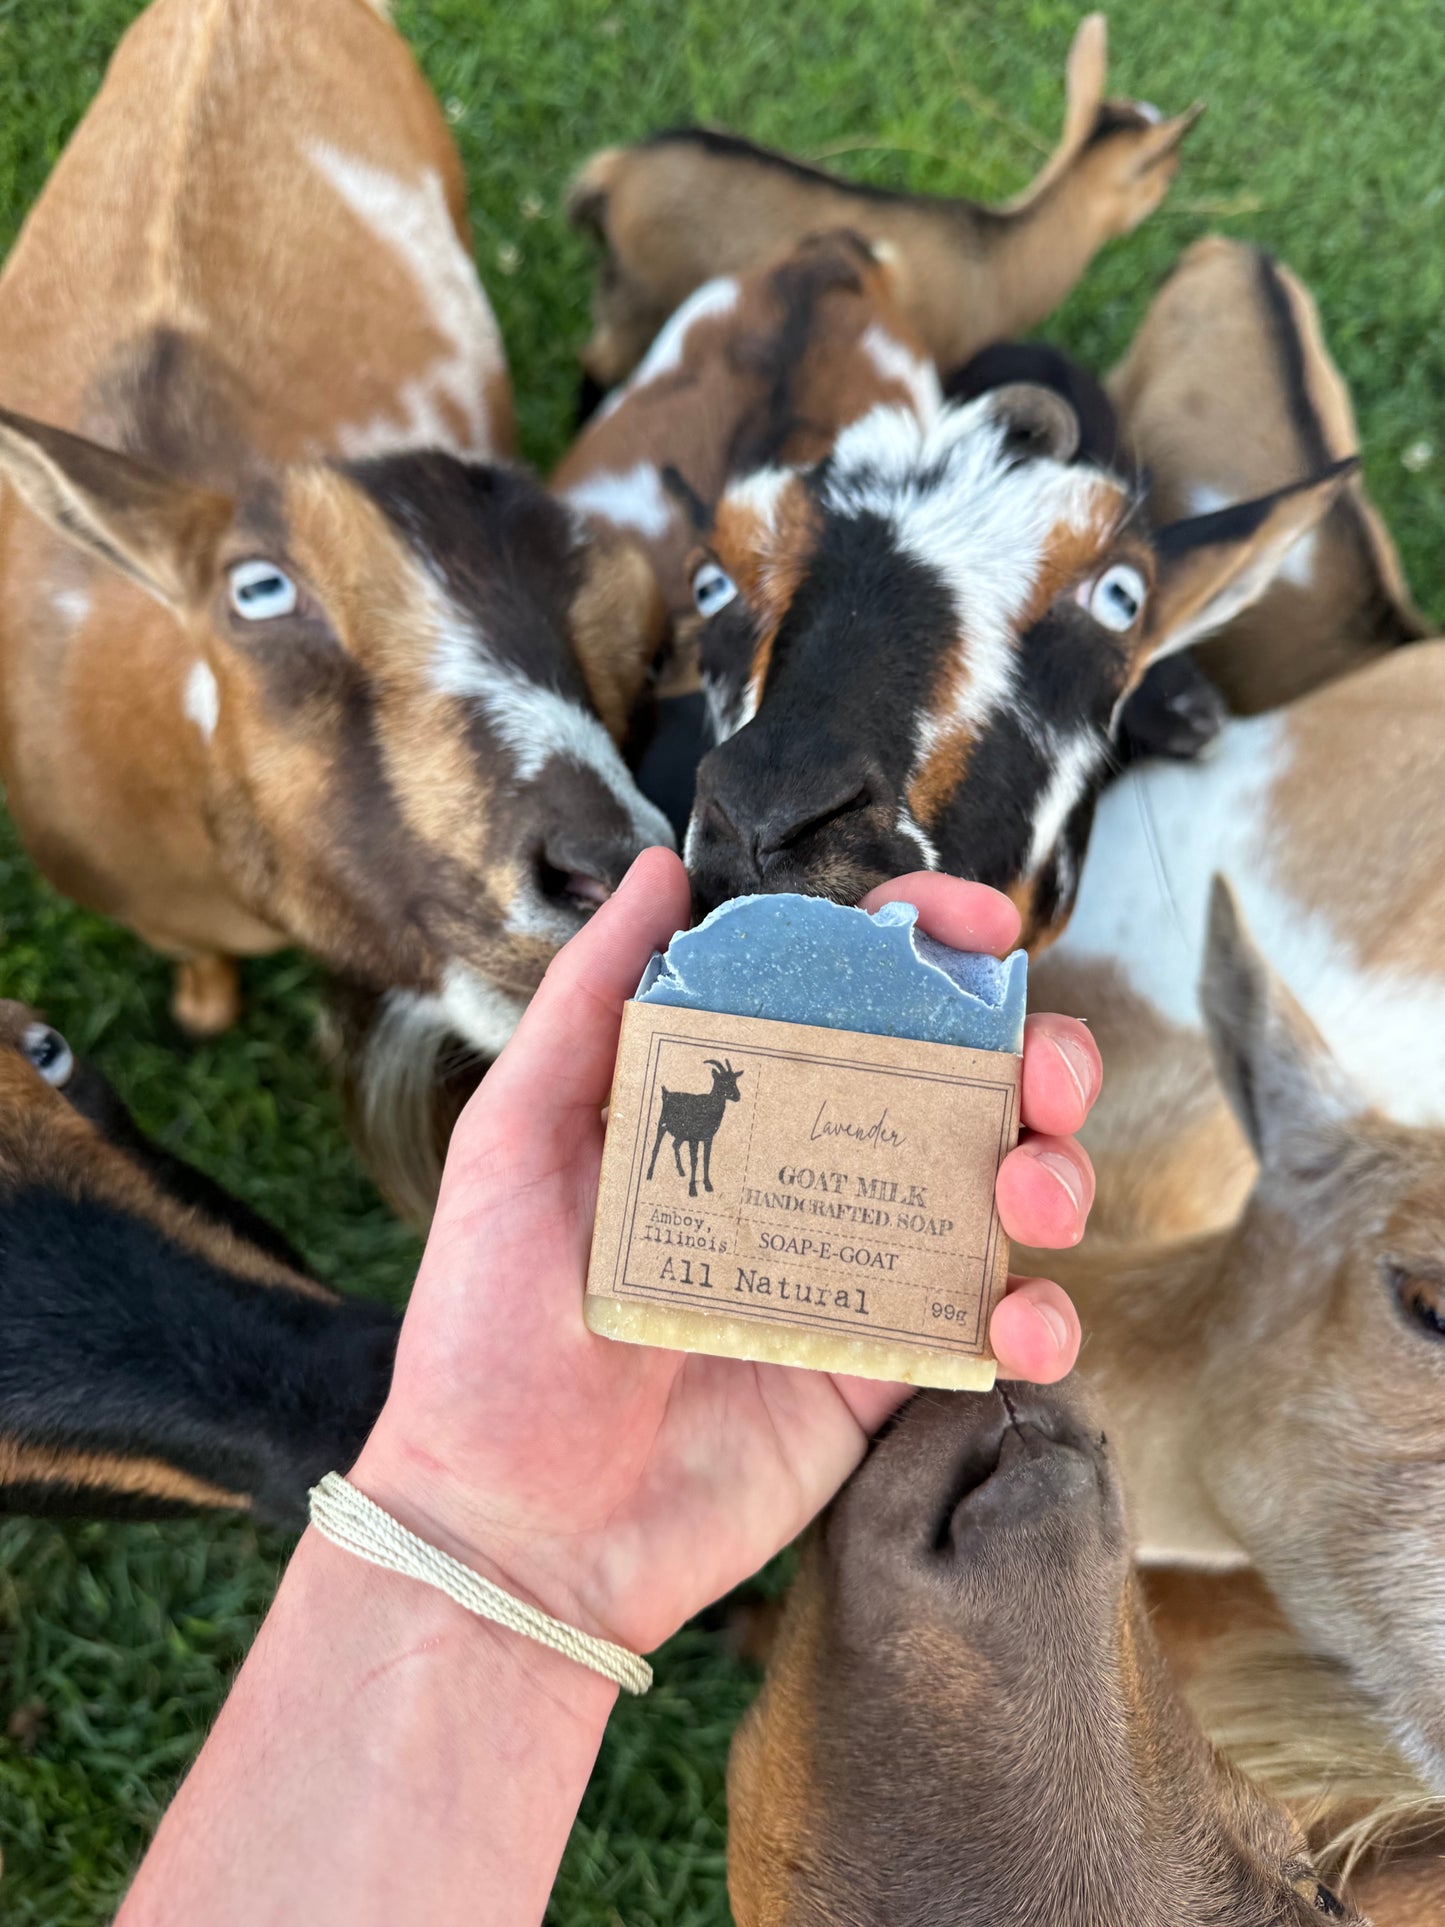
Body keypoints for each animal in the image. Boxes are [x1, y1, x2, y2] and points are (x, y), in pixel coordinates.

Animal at [646, 1057, 742, 1197]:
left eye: (734, 1080)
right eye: (722, 1081)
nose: (737, 1096)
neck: (707, 1107)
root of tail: (666, 1094)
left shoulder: (708, 1138)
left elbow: (706, 1159)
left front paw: (708, 1185)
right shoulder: (694, 1139)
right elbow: (694, 1161)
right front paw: (692, 1189)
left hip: (681, 1134)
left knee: (675, 1145)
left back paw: (681, 1171)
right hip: (662, 1125)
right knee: (656, 1148)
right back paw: (649, 1175)